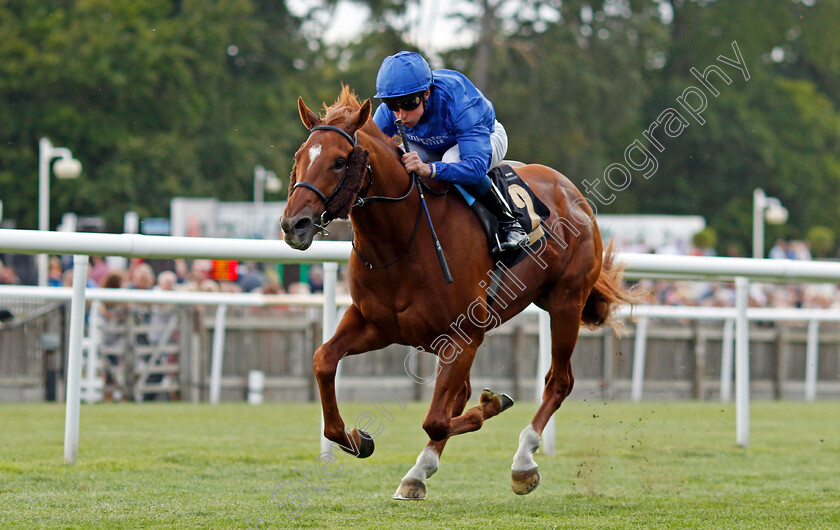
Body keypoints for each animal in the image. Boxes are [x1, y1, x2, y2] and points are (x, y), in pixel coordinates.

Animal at [282, 87, 636, 500]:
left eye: (339, 162)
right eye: (299, 157)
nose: (293, 224)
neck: (402, 240)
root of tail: (572, 192)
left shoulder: (464, 335)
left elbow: (437, 419)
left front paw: (494, 404)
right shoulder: (375, 323)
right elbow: (323, 361)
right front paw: (357, 439)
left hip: (566, 302)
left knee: (558, 382)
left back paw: (523, 460)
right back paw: (421, 471)